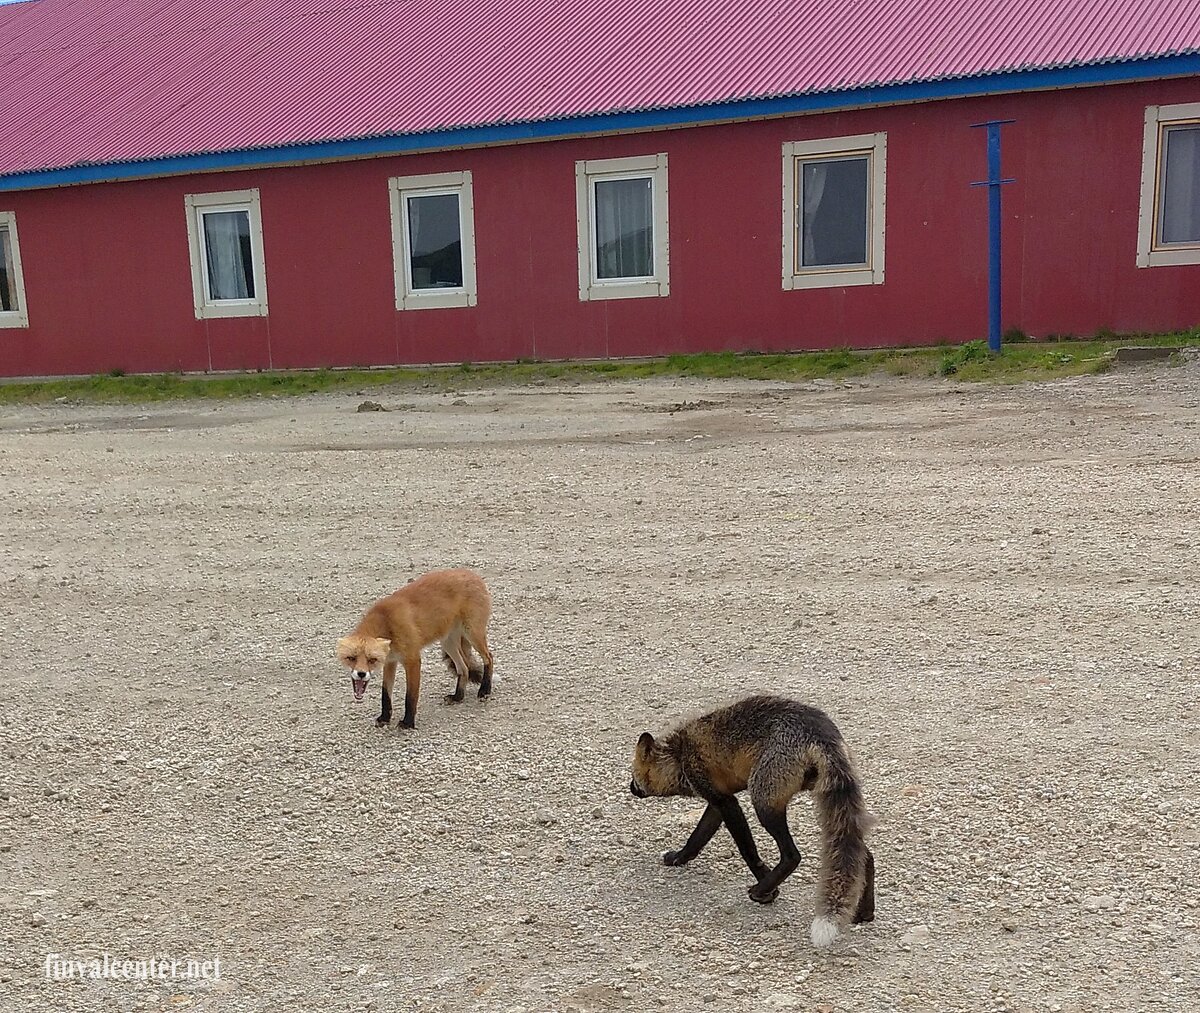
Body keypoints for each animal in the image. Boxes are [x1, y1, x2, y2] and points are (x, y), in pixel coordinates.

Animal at [333, 568, 492, 729]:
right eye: (351, 658)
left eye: (372, 660)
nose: (361, 674)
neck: (387, 622)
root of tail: (471, 573)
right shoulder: (390, 661)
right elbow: (385, 694)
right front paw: (385, 718)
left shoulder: (413, 660)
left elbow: (410, 696)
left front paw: (408, 722)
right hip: (448, 643)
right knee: (464, 668)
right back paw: (458, 696)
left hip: (472, 634)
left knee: (489, 657)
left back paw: (485, 690)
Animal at [633, 691, 878, 945]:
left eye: (634, 774)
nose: (631, 788)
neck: (678, 753)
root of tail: (820, 731)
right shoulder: (718, 801)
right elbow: (696, 839)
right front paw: (679, 858)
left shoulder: (724, 801)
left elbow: (747, 850)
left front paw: (767, 886)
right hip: (829, 804)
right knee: (864, 856)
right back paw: (864, 912)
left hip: (764, 804)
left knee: (792, 856)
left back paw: (761, 890)